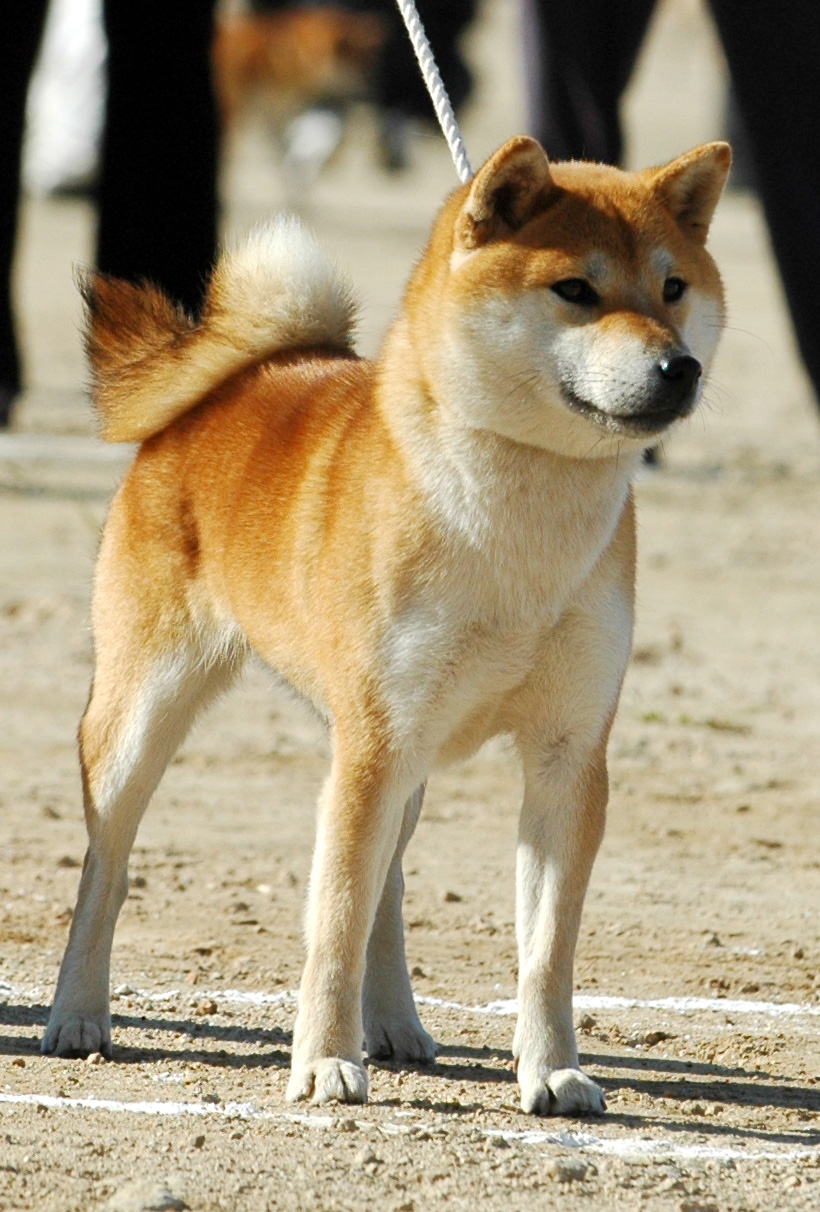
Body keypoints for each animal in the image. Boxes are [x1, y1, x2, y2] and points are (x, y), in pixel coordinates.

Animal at [41, 137, 731, 1110]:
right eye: (576, 289)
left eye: (673, 289)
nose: (680, 368)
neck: (515, 531)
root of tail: (233, 382)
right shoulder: (373, 746)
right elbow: (332, 919)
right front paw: (326, 1062)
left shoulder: (567, 755)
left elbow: (544, 950)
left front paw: (553, 1068)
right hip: (150, 714)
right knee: (109, 864)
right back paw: (77, 1014)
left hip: (407, 758)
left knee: (390, 892)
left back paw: (398, 1024)